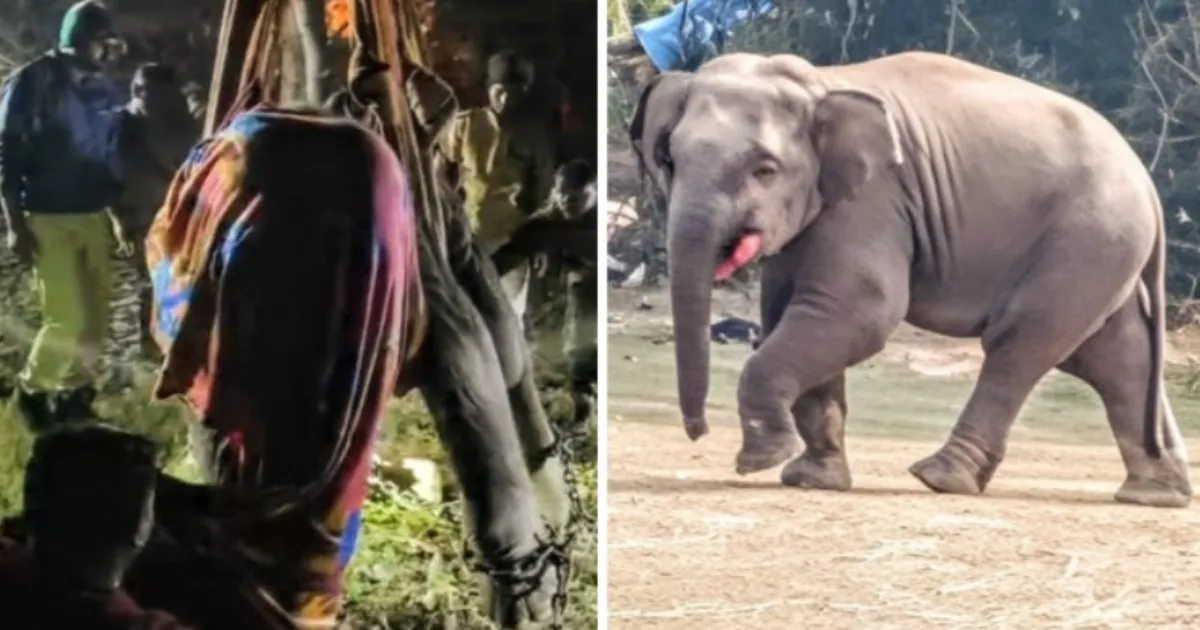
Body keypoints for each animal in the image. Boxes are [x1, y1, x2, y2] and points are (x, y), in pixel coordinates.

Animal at [628, 50, 1193, 508]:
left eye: (764, 170)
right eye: (668, 158)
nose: (698, 433)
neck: (818, 82)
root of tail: (1147, 184)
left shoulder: (874, 200)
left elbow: (858, 311)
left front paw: (762, 460)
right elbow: (793, 311)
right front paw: (812, 478)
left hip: (1086, 240)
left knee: (1022, 343)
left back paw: (940, 477)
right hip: (1102, 251)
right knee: (1116, 356)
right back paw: (1154, 495)